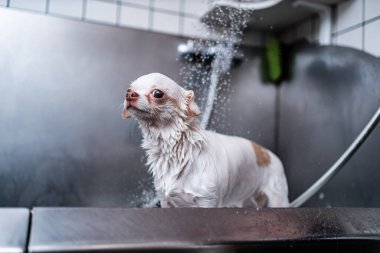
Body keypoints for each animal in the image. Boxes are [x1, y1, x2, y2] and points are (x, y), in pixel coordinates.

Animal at [121, 72, 288, 208]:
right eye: (128, 90)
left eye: (157, 93)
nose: (129, 94)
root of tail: (268, 153)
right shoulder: (165, 200)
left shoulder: (208, 201)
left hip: (278, 198)